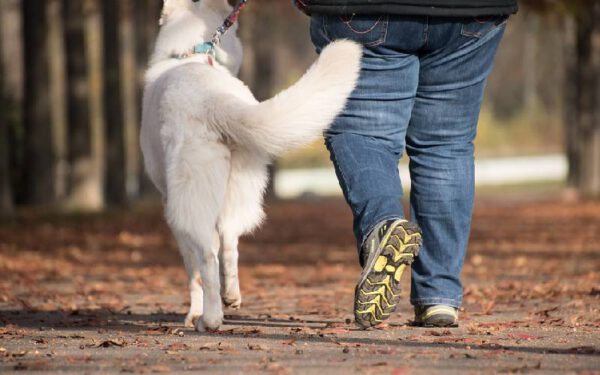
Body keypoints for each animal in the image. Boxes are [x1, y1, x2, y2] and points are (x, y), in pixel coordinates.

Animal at [141, 0, 360, 332]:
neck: (192, 54)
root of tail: (212, 100)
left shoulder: (170, 204)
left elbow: (192, 272)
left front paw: (192, 313)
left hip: (189, 201)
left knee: (207, 257)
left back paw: (209, 319)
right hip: (240, 187)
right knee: (230, 242)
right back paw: (231, 297)